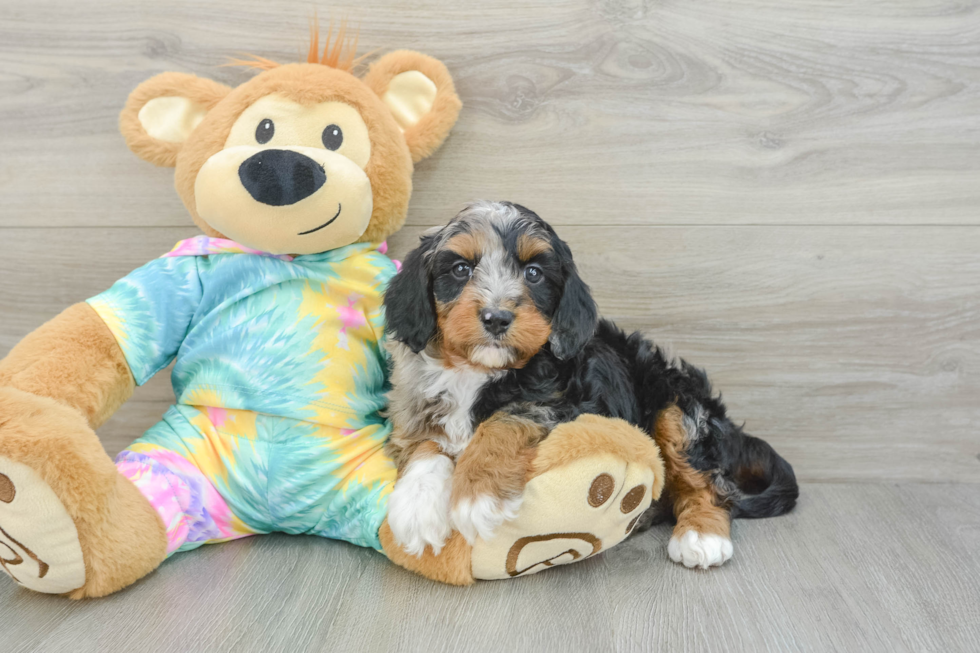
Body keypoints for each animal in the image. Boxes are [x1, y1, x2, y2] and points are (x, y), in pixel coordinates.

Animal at [380, 201, 796, 568]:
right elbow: (427, 441)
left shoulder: (570, 404)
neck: (478, 370)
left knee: (711, 485)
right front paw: (416, 509)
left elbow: (507, 418)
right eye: (460, 268)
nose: (496, 318)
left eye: (534, 273)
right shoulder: (415, 401)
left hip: (678, 408)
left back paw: (702, 536)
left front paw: (478, 495)